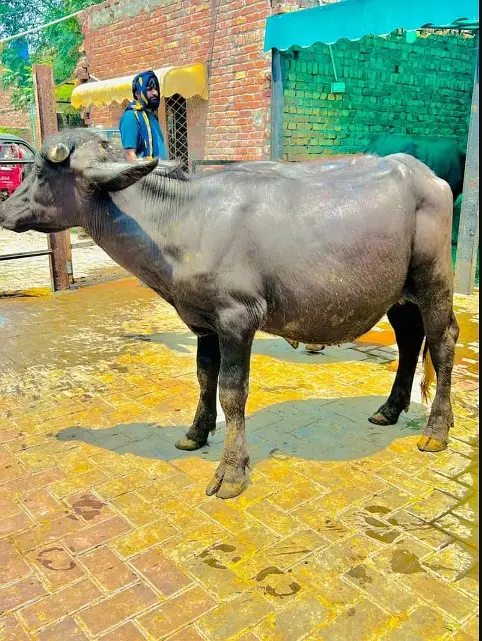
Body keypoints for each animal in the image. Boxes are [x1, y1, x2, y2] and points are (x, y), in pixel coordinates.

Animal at [0, 129, 459, 499]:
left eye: (42, 172)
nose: (3, 211)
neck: (182, 221)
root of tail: (425, 174)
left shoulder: (238, 318)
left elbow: (231, 391)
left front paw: (232, 471)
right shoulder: (204, 323)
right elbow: (205, 379)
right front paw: (195, 433)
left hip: (434, 281)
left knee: (443, 342)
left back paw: (436, 429)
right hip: (398, 294)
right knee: (409, 340)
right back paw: (390, 409)